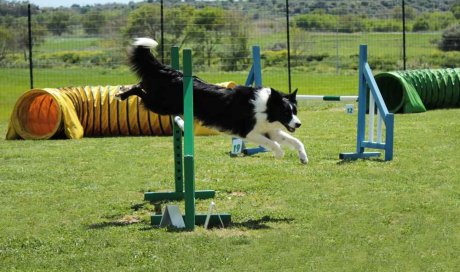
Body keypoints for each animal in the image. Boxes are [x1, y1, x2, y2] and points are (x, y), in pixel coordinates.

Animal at [115, 38, 310, 164]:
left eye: (295, 111)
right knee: (139, 89)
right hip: (160, 104)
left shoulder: (269, 130)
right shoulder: (248, 132)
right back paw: (121, 94)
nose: (299, 124)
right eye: (286, 112)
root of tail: (172, 72)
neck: (265, 108)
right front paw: (279, 153)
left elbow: (295, 141)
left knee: (141, 85)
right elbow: (273, 143)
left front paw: (303, 157)